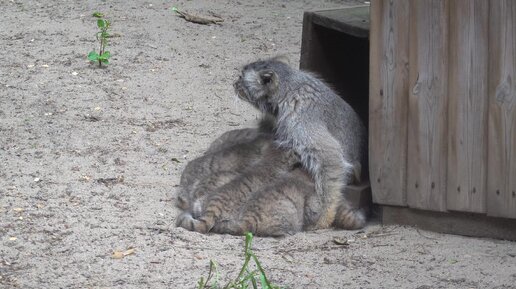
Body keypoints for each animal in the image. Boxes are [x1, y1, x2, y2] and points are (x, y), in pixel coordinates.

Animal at [234, 58, 366, 230]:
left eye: (241, 76)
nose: (234, 83)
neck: (287, 89)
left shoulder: (301, 119)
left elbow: (331, 157)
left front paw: (326, 214)